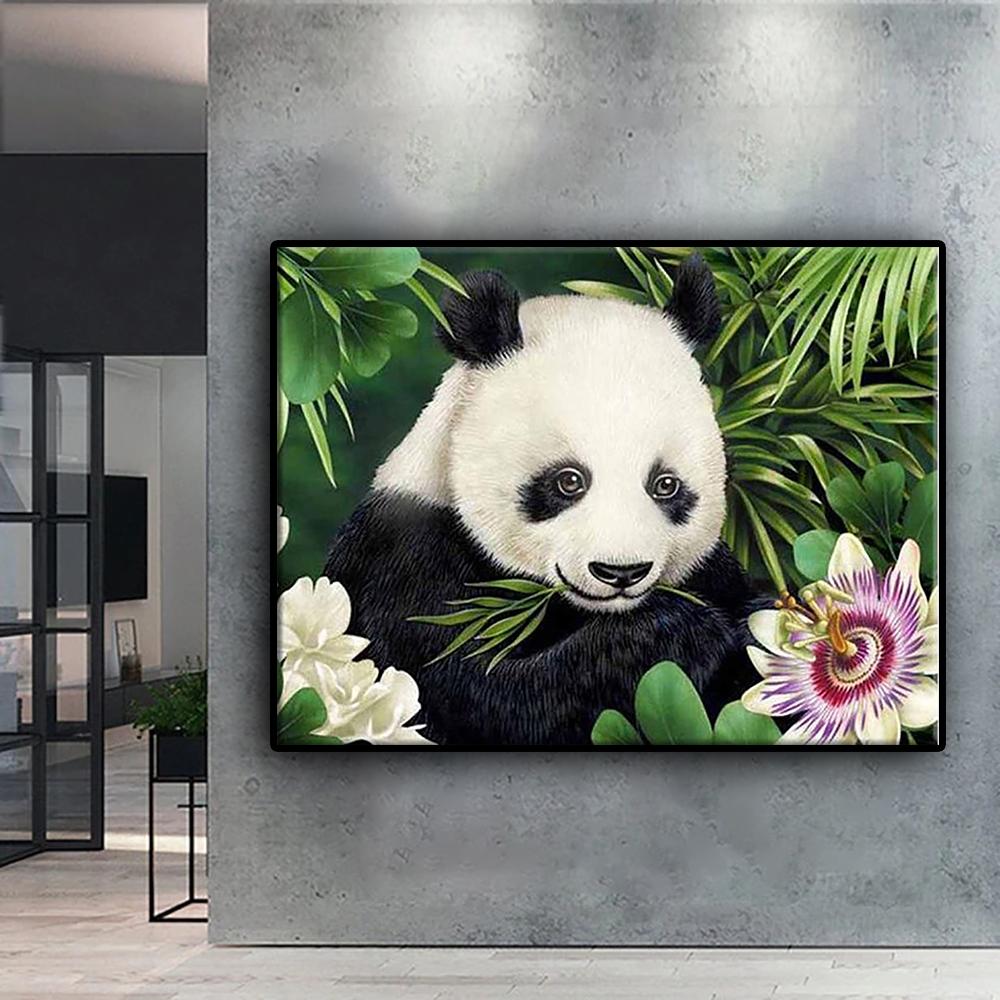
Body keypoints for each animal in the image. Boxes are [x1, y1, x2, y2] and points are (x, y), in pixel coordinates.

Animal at [323, 256, 759, 746]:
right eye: (568, 481)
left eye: (665, 485)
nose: (621, 572)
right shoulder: (405, 565)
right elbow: (481, 698)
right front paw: (681, 632)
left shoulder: (713, 572)